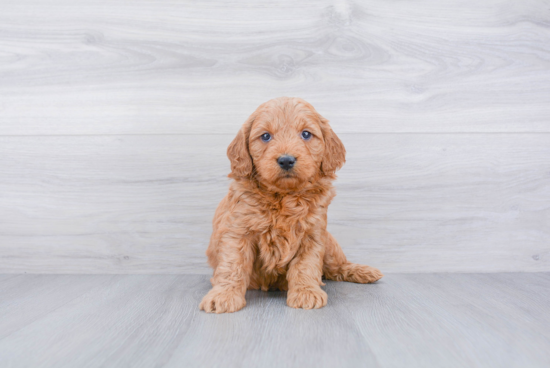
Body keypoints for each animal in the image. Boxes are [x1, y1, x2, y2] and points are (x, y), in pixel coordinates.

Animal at [199, 96, 384, 312]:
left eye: (306, 134)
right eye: (265, 136)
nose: (286, 160)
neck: (283, 197)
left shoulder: (312, 234)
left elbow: (306, 265)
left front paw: (306, 292)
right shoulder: (238, 232)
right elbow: (233, 265)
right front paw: (223, 295)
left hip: (330, 245)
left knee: (337, 267)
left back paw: (365, 271)